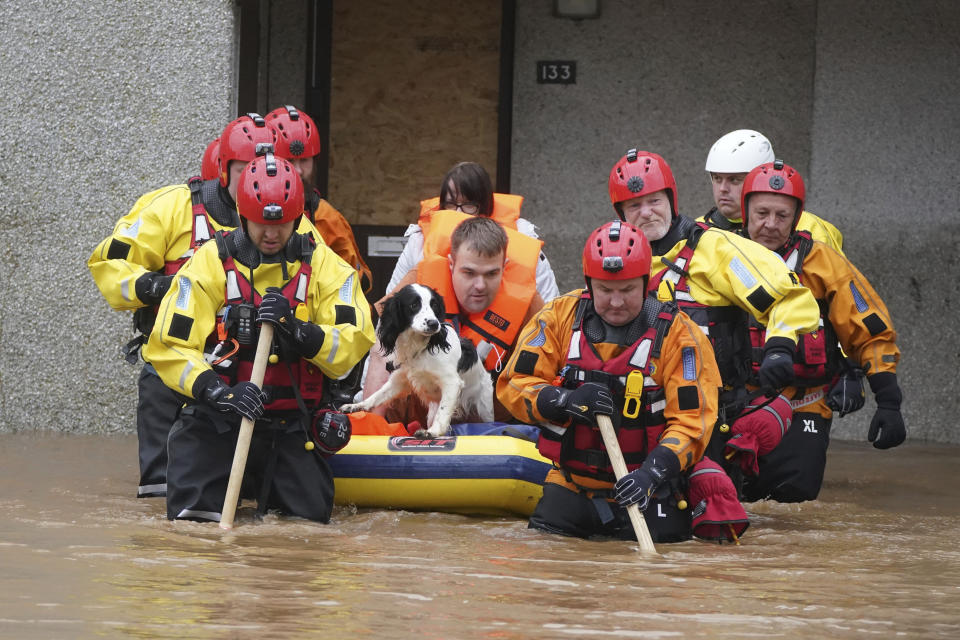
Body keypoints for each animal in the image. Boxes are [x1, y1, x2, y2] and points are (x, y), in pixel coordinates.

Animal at [342, 284, 496, 438]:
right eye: (414, 305)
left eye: (435, 305)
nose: (434, 324)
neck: (420, 348)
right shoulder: (399, 379)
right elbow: (377, 395)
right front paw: (356, 406)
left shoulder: (452, 383)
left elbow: (443, 412)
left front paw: (433, 432)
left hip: (485, 409)